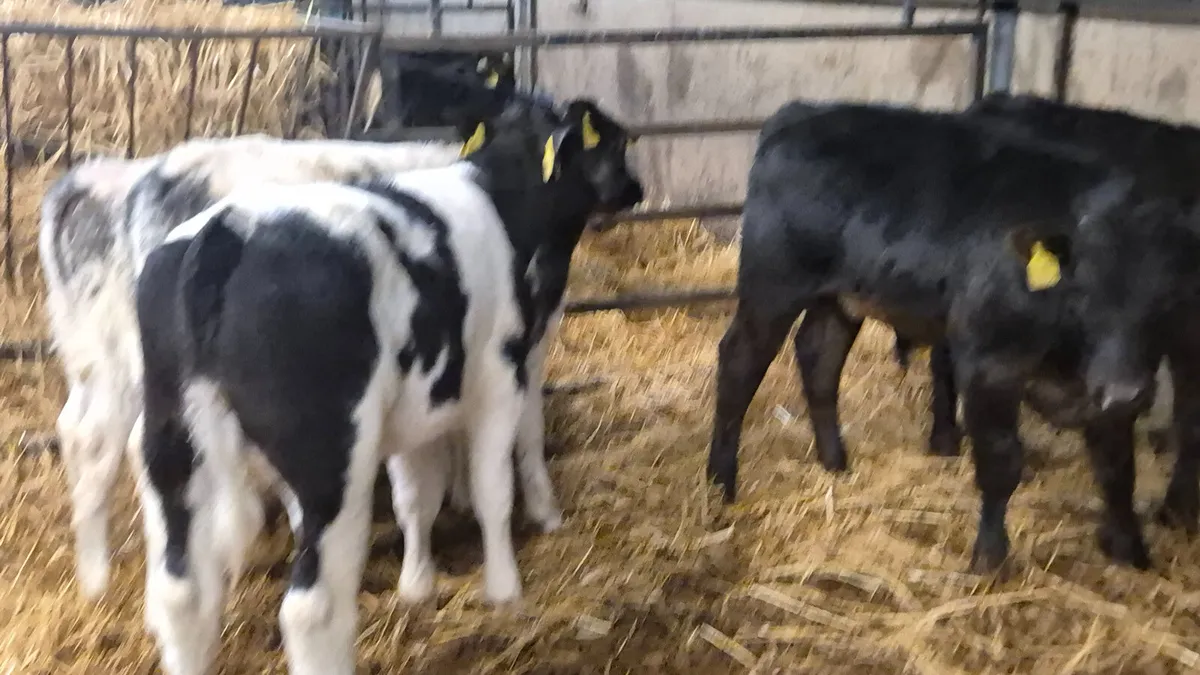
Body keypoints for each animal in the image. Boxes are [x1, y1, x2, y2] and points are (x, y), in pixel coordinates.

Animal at [706, 99, 1200, 574]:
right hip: (773, 284)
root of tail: (802, 112)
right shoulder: (989, 365)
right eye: (1085, 290)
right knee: (739, 363)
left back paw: (835, 465)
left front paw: (1131, 552)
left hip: (840, 296)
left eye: (1166, 298)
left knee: (819, 358)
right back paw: (720, 483)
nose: (1126, 390)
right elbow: (1002, 462)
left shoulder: (1111, 385)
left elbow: (1119, 468)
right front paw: (991, 559)